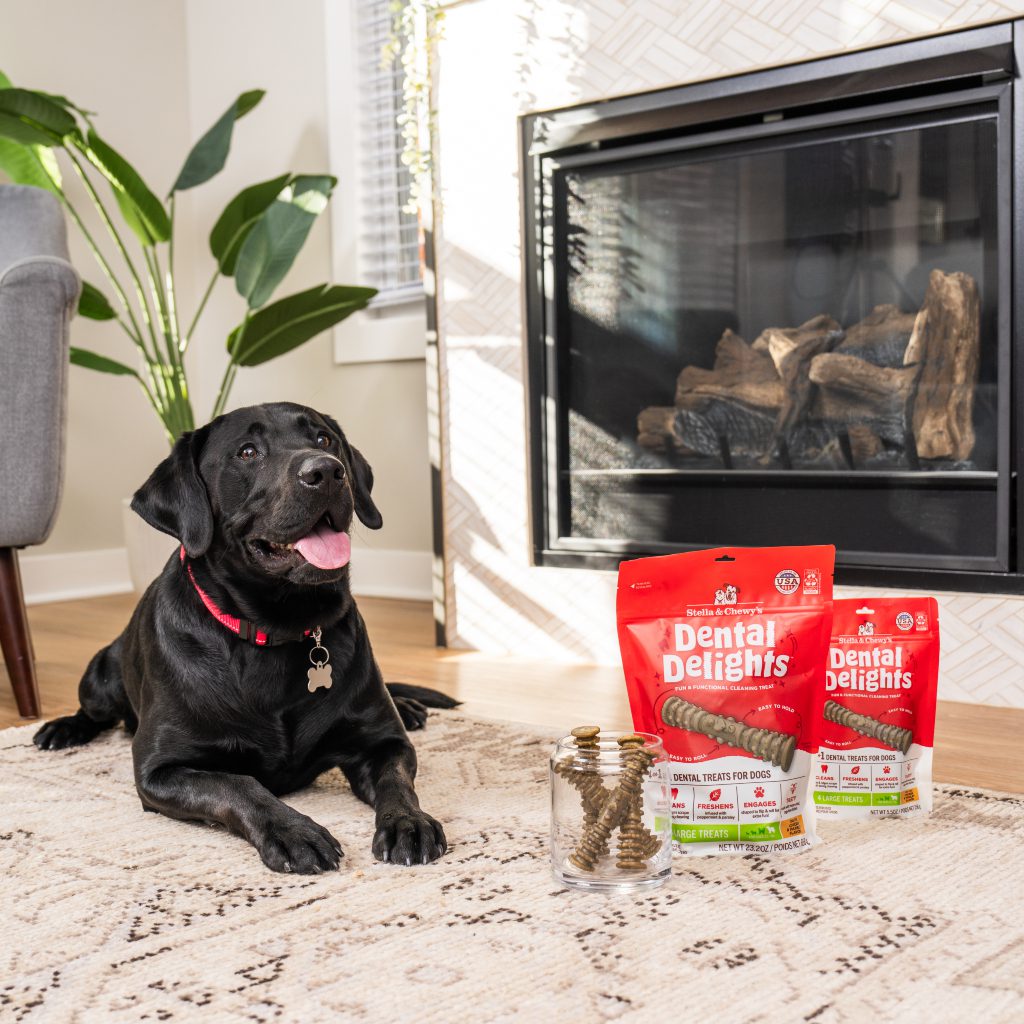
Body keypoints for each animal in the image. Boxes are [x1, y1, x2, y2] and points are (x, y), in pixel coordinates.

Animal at [34, 399, 454, 872]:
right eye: (248, 452)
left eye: (324, 438)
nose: (327, 471)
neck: (277, 630)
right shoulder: (159, 769)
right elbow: (237, 785)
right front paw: (293, 832)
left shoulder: (385, 743)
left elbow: (397, 783)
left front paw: (408, 823)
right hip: (100, 675)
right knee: (93, 711)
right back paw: (62, 729)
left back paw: (411, 707)